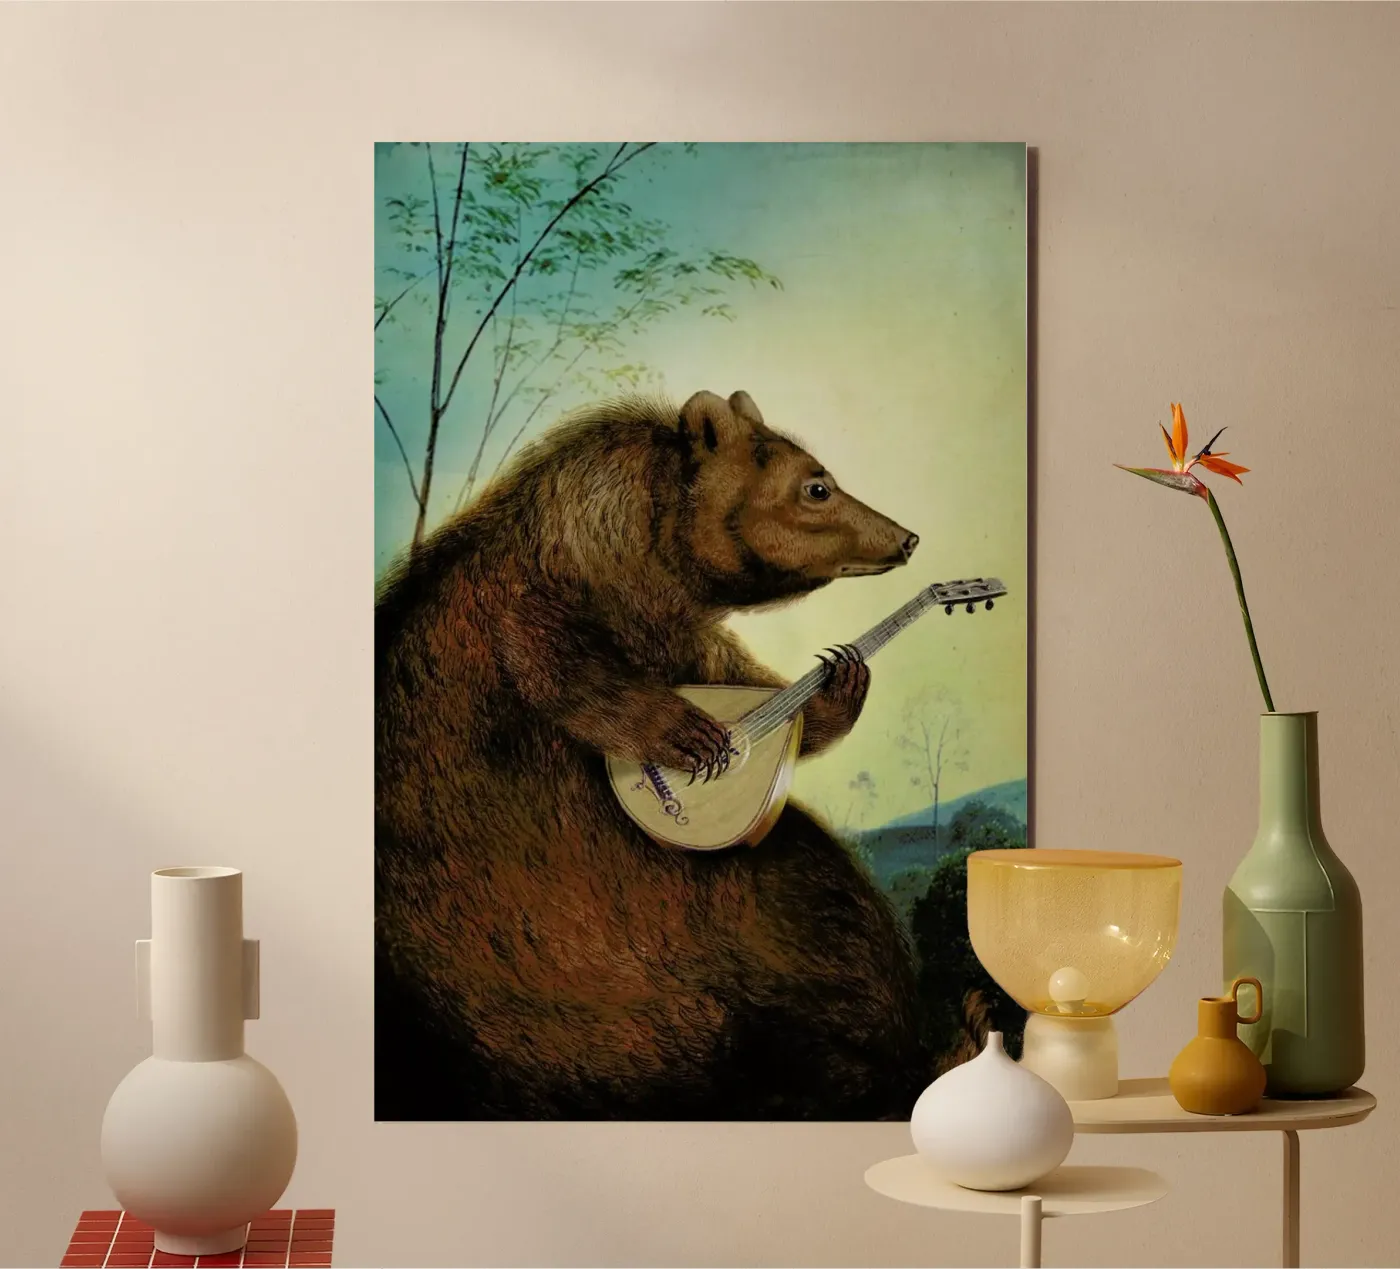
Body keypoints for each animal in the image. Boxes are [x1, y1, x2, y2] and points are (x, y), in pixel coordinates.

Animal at [375, 388, 971, 1121]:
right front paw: (688, 734)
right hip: (519, 954)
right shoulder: (551, 579)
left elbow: (743, 680)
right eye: (817, 486)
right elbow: (558, 660)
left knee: (820, 908)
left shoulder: (680, 631)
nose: (906, 537)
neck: (653, 551)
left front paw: (840, 683)